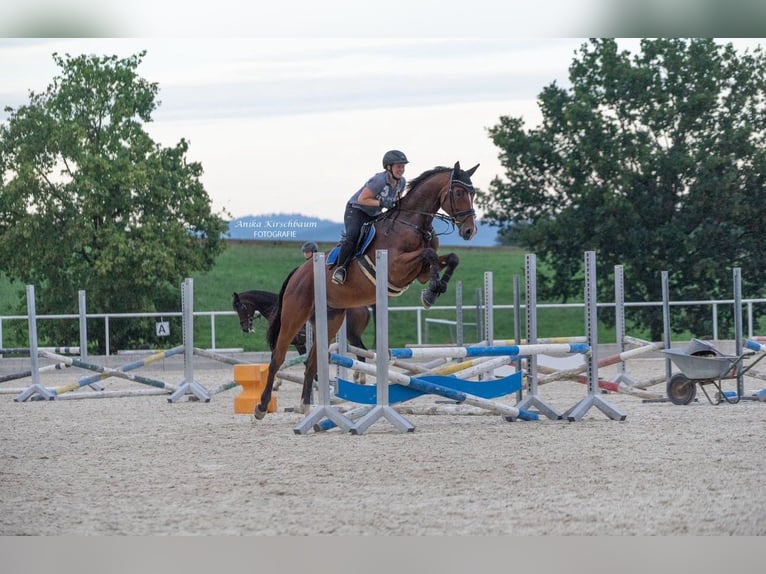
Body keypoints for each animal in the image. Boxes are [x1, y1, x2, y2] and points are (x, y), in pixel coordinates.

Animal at [231, 292, 376, 382]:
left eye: (241, 307)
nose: (245, 327)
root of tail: (363, 307)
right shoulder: (299, 344)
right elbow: (304, 361)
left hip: (353, 336)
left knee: (362, 353)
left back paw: (360, 378)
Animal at [255, 160, 480, 420]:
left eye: (473, 193)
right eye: (459, 192)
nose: (469, 231)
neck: (414, 223)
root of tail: (297, 273)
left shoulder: (419, 272)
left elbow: (449, 258)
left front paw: (434, 291)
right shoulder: (396, 268)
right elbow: (429, 254)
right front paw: (431, 293)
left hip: (331, 318)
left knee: (312, 361)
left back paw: (306, 406)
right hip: (295, 314)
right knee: (278, 357)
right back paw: (262, 407)